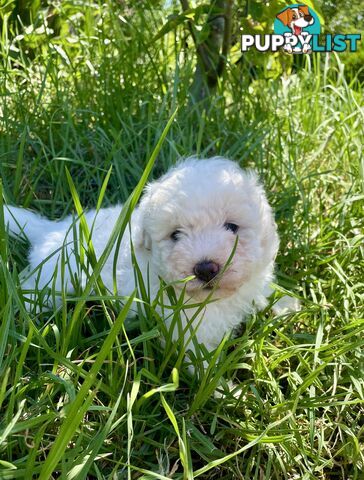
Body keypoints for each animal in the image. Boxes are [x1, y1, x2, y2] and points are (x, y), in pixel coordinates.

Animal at [4, 158, 280, 356]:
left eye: (232, 227)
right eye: (176, 234)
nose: (205, 268)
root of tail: (52, 229)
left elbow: (264, 295)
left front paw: (283, 305)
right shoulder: (187, 332)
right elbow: (202, 365)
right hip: (52, 280)